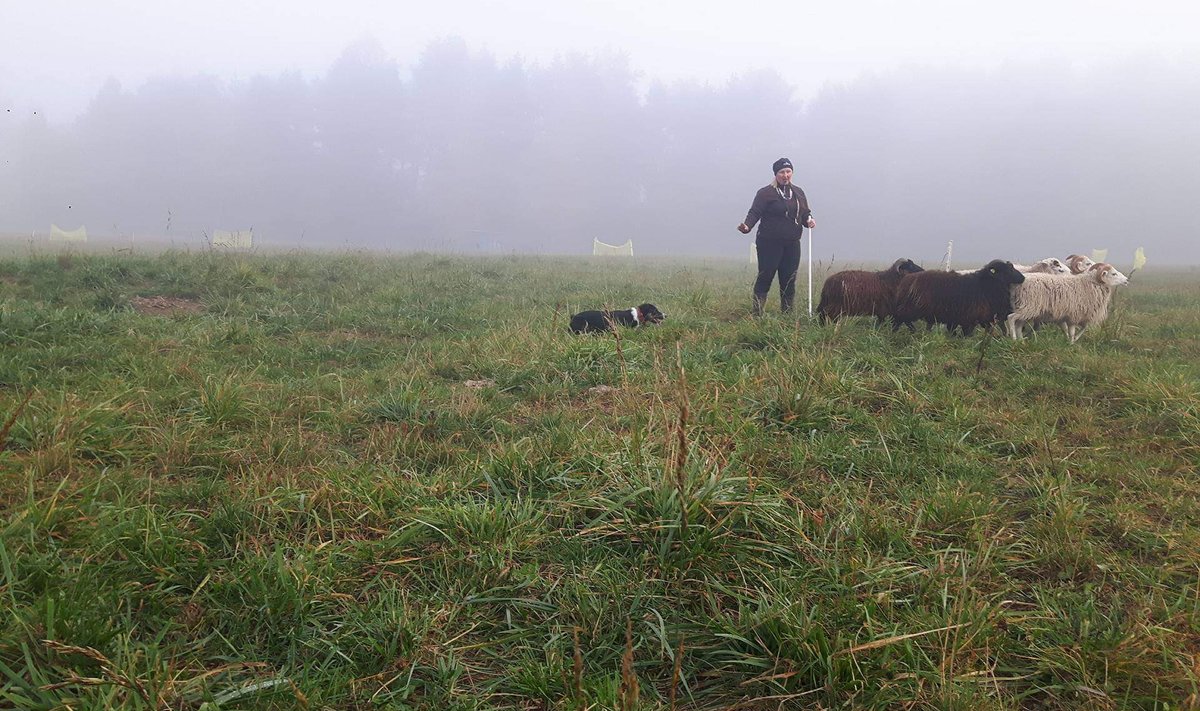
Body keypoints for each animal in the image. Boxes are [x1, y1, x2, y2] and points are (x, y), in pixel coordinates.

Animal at [897, 260, 1027, 336]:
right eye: (1008, 270)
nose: (1023, 278)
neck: (985, 285)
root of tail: (907, 279)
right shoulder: (972, 316)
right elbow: (968, 332)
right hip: (912, 308)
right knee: (902, 319)